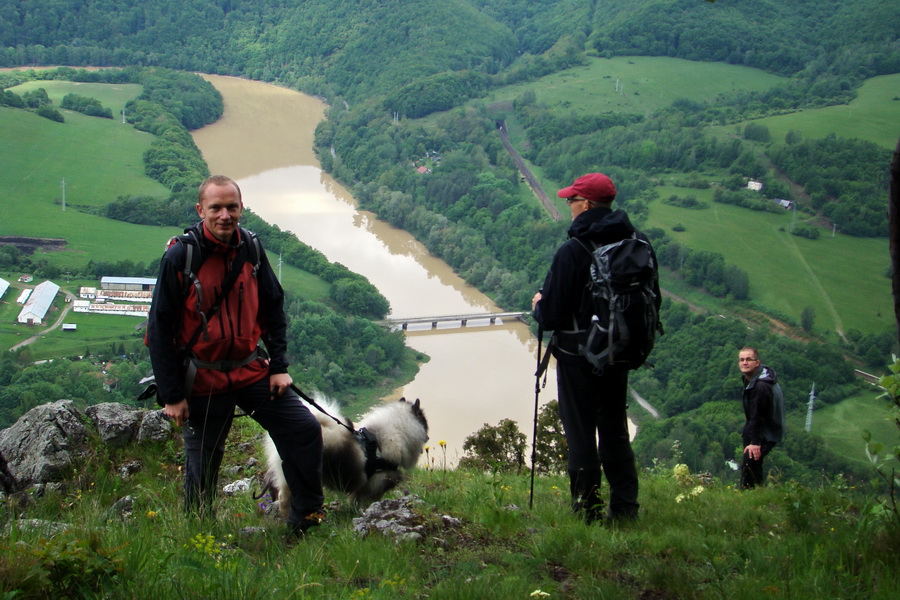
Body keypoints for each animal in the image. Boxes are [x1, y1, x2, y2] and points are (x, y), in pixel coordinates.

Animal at [260, 394, 428, 510]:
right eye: (425, 424)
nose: (428, 437)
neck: (395, 432)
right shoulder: (380, 480)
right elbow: (372, 499)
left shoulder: (362, 485)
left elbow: (355, 499)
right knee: (285, 499)